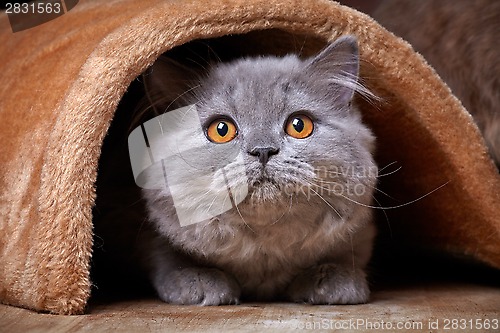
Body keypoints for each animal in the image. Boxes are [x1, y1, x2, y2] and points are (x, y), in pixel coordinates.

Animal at [134, 35, 378, 304]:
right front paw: (200, 279)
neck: (263, 250)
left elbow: (342, 256)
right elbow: (169, 257)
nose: (263, 150)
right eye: (221, 129)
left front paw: (332, 280)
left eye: (299, 125)